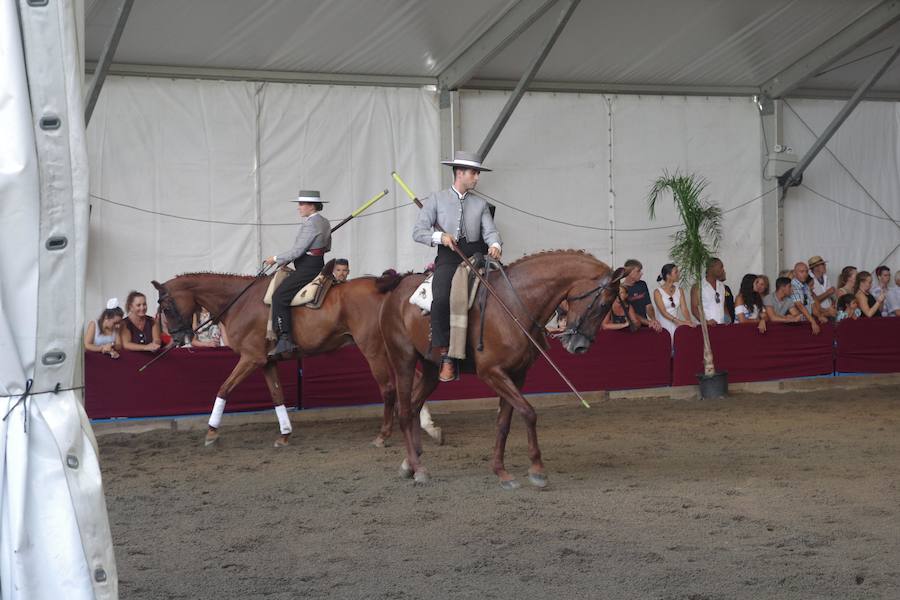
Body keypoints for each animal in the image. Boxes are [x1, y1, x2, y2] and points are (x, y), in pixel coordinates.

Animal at [151, 264, 428, 448]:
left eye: (167, 307)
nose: (177, 338)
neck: (240, 301)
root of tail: (384, 286)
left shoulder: (250, 359)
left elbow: (224, 388)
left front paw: (211, 431)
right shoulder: (267, 362)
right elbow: (277, 396)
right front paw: (284, 434)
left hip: (373, 349)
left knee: (389, 389)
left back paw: (384, 434)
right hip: (393, 347)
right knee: (412, 380)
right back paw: (422, 422)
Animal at [378, 248, 620, 488]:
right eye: (603, 305)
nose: (580, 346)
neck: (514, 304)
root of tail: (397, 288)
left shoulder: (516, 374)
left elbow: (504, 422)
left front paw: (501, 471)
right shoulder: (492, 372)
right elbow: (528, 412)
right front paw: (537, 469)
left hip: (430, 369)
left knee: (414, 406)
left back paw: (410, 463)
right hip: (403, 360)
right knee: (405, 411)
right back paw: (418, 468)